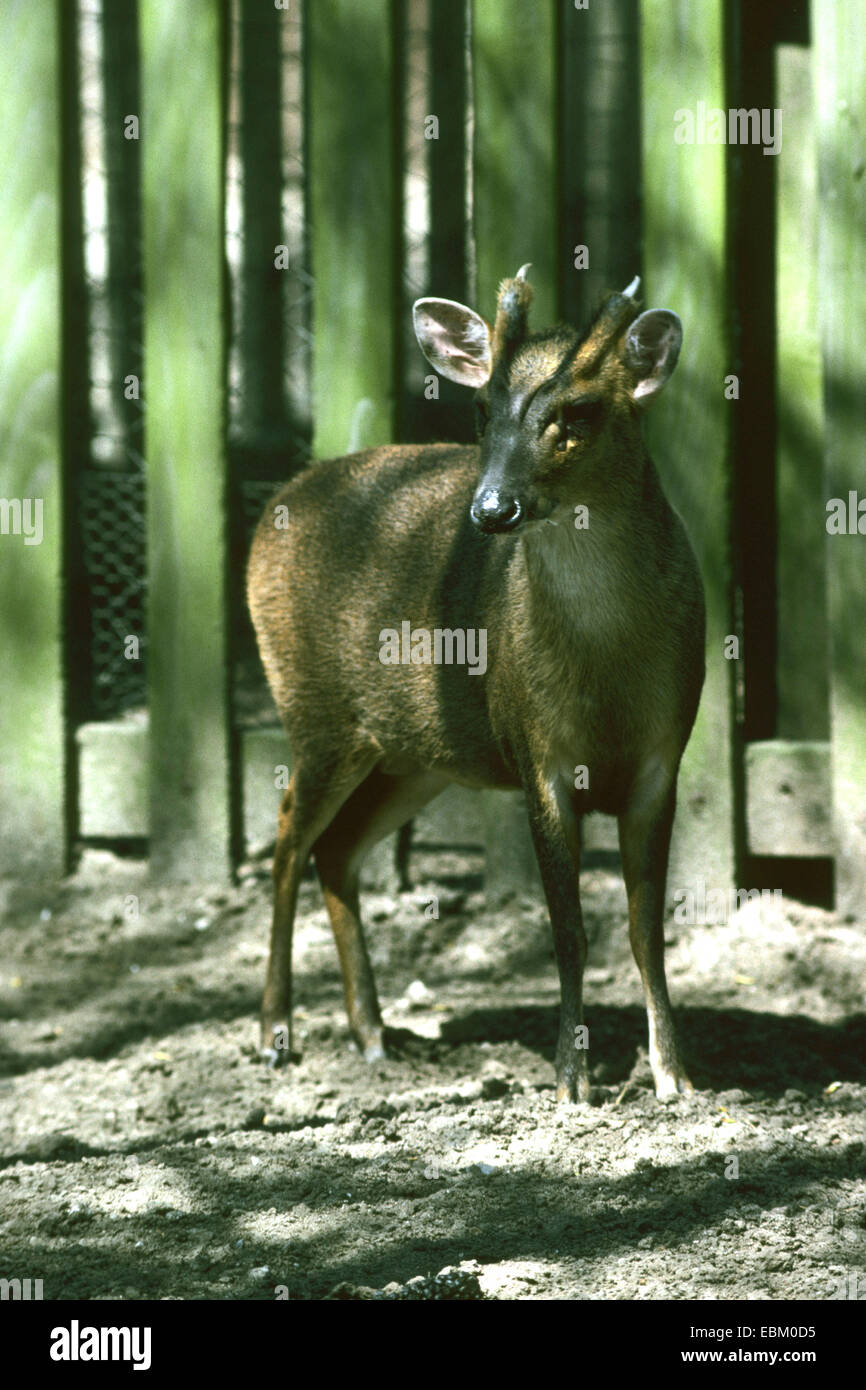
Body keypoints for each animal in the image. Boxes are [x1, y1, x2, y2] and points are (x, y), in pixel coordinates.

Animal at [248, 265, 706, 1100]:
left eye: (579, 412)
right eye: (482, 408)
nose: (493, 508)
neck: (608, 670)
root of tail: (275, 503)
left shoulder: (664, 754)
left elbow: (644, 927)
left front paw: (675, 1076)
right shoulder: (535, 748)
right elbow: (568, 926)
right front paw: (571, 1080)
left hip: (414, 755)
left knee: (338, 851)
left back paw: (374, 1035)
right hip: (315, 711)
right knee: (289, 835)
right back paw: (275, 1033)